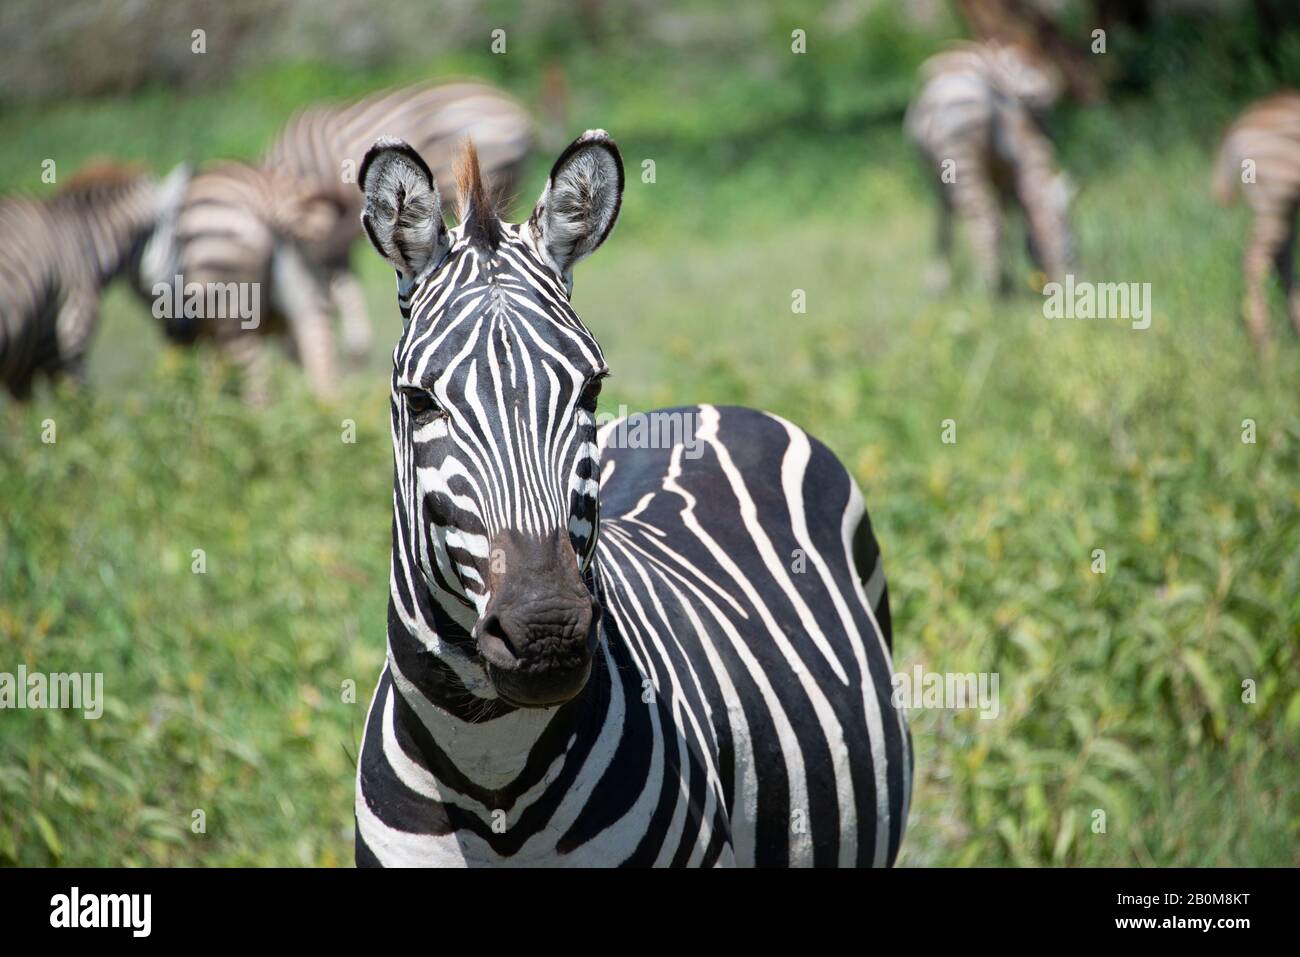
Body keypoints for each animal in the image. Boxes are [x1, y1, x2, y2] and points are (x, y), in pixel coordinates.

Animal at [0, 161, 189, 399]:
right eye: (180, 241)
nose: (185, 329)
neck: (83, 244)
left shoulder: (21, 370)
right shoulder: (70, 339)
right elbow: (79, 405)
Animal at [137, 161, 357, 404]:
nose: (176, 330)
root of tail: (271, 202)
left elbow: (210, 378)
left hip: (231, 309)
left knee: (259, 383)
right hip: (310, 297)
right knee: (323, 372)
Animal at [905, 41, 1076, 293]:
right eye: (1073, 234)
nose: (1075, 285)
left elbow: (947, 221)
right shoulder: (1007, 176)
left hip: (960, 165)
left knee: (985, 217)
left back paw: (989, 286)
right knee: (990, 218)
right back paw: (992, 286)